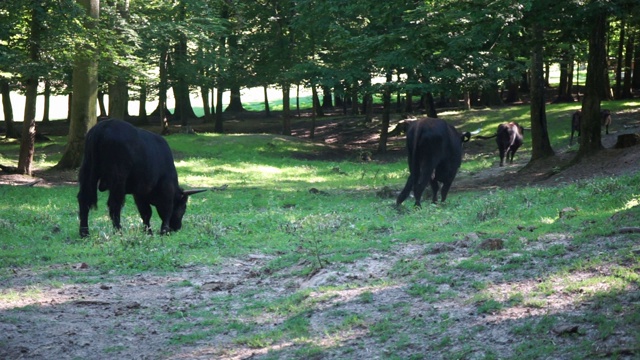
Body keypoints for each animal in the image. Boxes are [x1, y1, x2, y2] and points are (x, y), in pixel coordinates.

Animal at [76, 119, 208, 239]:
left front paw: (148, 232)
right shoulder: (166, 190)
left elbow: (146, 213)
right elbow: (166, 211)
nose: (177, 227)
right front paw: (163, 231)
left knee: (84, 200)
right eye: (183, 207)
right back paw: (119, 232)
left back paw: (84, 233)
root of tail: (102, 127)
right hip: (118, 178)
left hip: (87, 171)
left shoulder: (139, 193)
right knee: (114, 204)